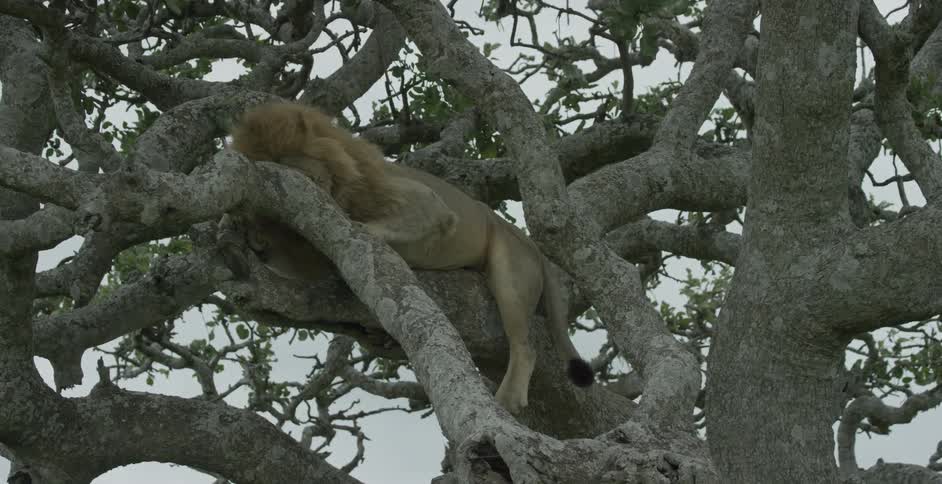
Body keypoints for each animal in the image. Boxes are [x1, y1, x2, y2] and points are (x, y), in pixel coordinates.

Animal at [230, 102, 593, 413]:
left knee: (525, 347)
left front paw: (356, 227)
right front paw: (247, 236)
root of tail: (529, 242)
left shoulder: (430, 205)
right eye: (274, 170)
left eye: (291, 164)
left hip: (510, 274)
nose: (261, 247)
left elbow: (370, 226)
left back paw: (506, 402)